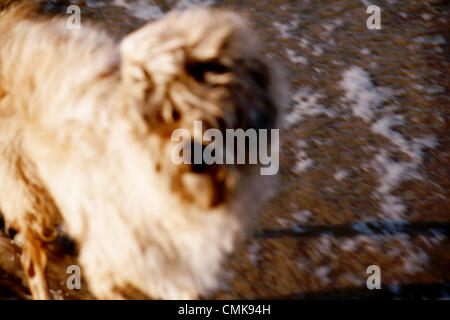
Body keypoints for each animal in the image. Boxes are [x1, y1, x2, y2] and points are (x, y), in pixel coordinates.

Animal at [0, 2, 286, 298]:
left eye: (218, 115)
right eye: (171, 114)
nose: (194, 155)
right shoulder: (109, 264)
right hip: (27, 191)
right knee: (32, 259)